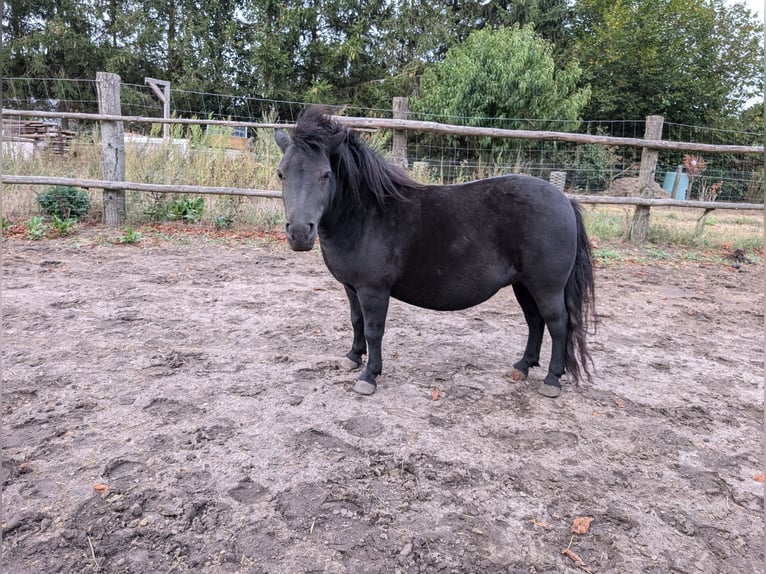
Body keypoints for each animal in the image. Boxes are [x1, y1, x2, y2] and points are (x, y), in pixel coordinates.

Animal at [272, 106, 596, 398]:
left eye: (326, 174)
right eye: (281, 174)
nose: (299, 233)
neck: (366, 214)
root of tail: (565, 200)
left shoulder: (373, 290)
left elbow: (374, 329)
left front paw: (369, 376)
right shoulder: (352, 288)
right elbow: (356, 321)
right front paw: (353, 357)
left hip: (546, 286)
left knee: (558, 324)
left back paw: (552, 380)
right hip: (523, 284)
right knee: (535, 321)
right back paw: (524, 365)